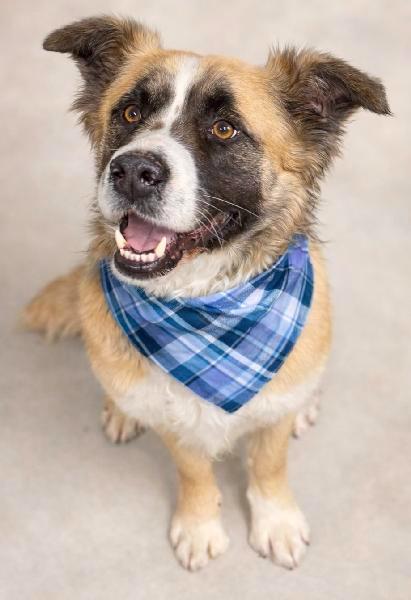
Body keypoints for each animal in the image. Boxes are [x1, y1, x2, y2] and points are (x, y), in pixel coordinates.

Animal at [23, 15, 390, 571]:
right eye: (130, 112)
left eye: (224, 128)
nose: (132, 171)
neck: (206, 305)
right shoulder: (175, 418)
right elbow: (194, 470)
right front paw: (199, 526)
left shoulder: (272, 411)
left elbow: (269, 463)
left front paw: (276, 520)